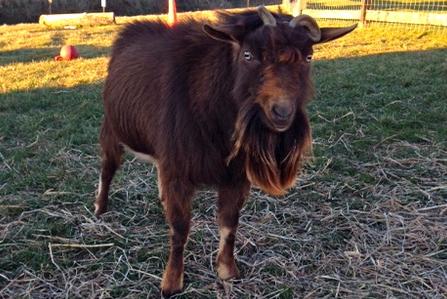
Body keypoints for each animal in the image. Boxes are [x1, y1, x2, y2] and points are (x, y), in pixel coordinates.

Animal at [96, 7, 358, 298]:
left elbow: (229, 224)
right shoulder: (178, 170)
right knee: (107, 168)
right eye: (248, 55)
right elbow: (180, 228)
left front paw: (227, 271)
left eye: (309, 57)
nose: (281, 113)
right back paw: (100, 208)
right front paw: (171, 282)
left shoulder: (235, 177)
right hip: (112, 130)